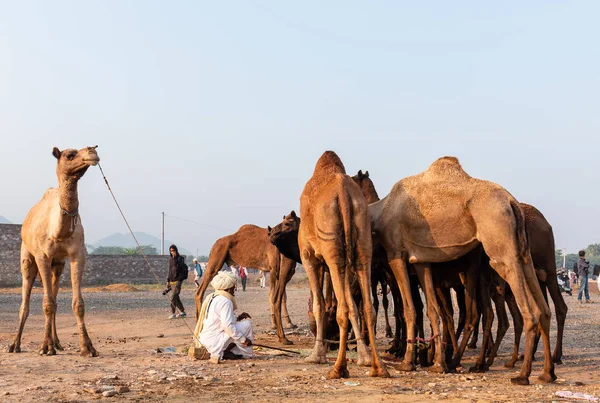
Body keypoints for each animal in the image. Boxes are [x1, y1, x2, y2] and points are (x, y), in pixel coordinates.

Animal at [7, 145, 99, 356]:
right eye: (70, 155)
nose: (92, 150)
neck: (58, 230)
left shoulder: (76, 255)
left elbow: (77, 304)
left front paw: (88, 347)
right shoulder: (42, 256)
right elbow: (47, 304)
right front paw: (45, 347)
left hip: (58, 264)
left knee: (55, 298)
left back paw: (57, 342)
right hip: (27, 255)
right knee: (26, 301)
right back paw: (15, 345)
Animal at [296, 153, 390, 380]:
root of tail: (343, 194)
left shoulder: (309, 257)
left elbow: (319, 305)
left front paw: (316, 355)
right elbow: (355, 305)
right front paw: (364, 357)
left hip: (331, 248)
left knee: (343, 308)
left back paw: (339, 368)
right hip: (361, 243)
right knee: (367, 307)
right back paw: (378, 367)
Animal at [370, 157, 556, 386]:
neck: (381, 210)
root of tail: (511, 201)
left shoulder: (395, 252)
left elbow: (409, 309)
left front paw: (407, 363)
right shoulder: (421, 259)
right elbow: (433, 310)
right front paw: (438, 364)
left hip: (499, 242)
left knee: (530, 310)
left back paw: (521, 375)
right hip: (523, 250)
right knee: (544, 309)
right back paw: (547, 373)